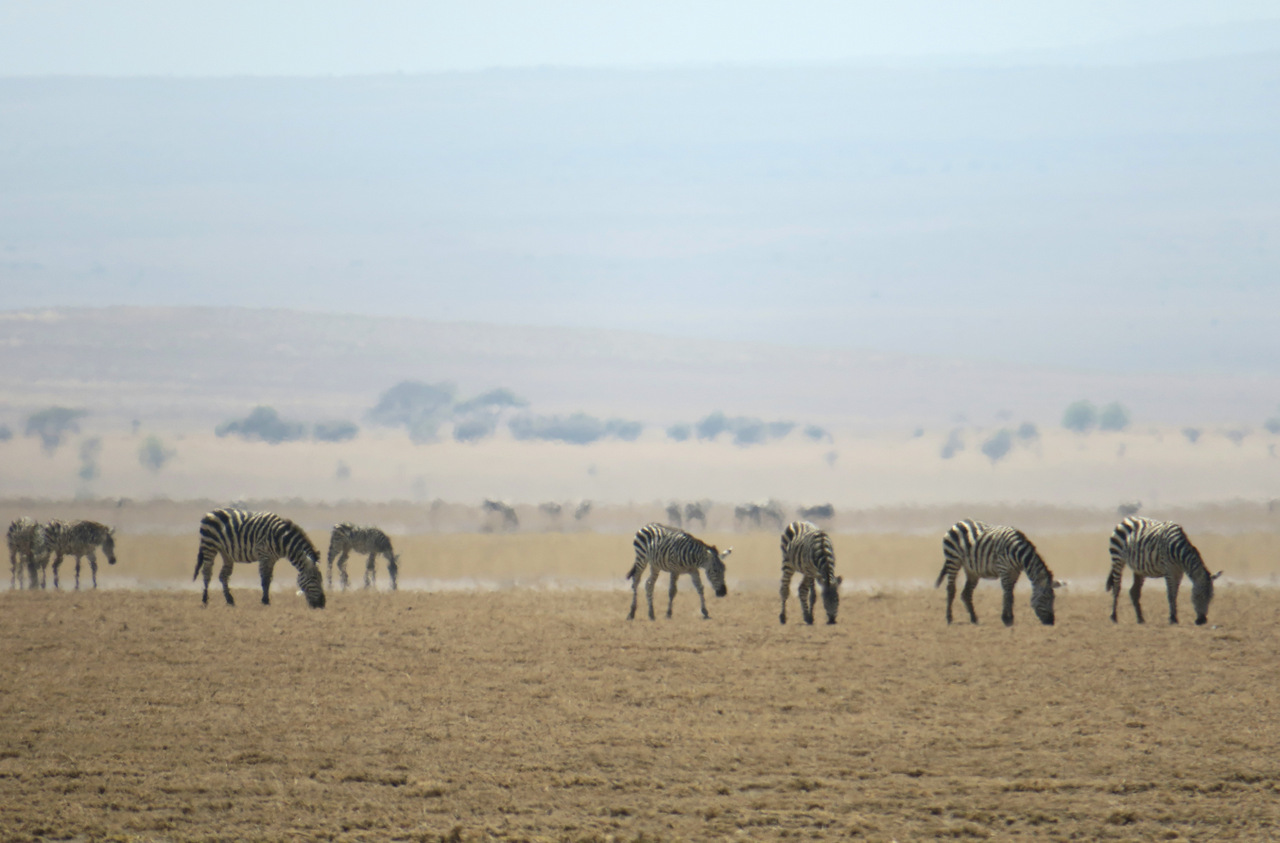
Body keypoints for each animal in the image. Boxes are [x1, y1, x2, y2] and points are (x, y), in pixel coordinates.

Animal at [194, 509, 327, 606]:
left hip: (226, 553)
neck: (281, 538)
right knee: (206, 572)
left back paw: (230, 600)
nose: (322, 604)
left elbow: (269, 578)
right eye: (314, 578)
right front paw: (265, 601)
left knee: (223, 576)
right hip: (209, 545)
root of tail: (210, 512)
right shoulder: (264, 555)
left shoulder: (272, 559)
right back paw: (205, 599)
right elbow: (265, 579)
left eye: (321, 579)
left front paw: (266, 599)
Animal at [931, 516, 1059, 629]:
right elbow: (1008, 593)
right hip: (953, 559)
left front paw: (1009, 618)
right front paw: (1007, 619)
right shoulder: (1004, 568)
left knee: (966, 593)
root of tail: (959, 522)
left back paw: (974, 619)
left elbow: (1010, 593)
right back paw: (949, 618)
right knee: (951, 589)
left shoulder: (1015, 572)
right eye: (1046, 598)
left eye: (1054, 599)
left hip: (972, 570)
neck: (1017, 553)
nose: (1051, 622)